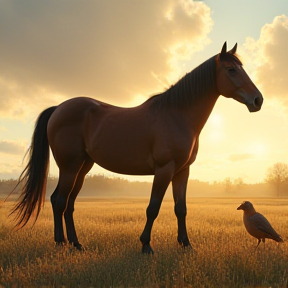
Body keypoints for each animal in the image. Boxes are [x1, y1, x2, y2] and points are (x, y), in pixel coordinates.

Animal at [11, 41, 264, 253]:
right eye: (231, 70)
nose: (257, 100)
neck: (176, 114)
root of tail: (58, 109)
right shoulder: (164, 170)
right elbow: (153, 208)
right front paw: (146, 245)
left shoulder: (182, 171)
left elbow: (181, 209)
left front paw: (186, 244)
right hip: (70, 167)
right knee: (59, 201)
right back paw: (60, 243)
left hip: (83, 167)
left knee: (69, 204)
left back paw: (76, 243)